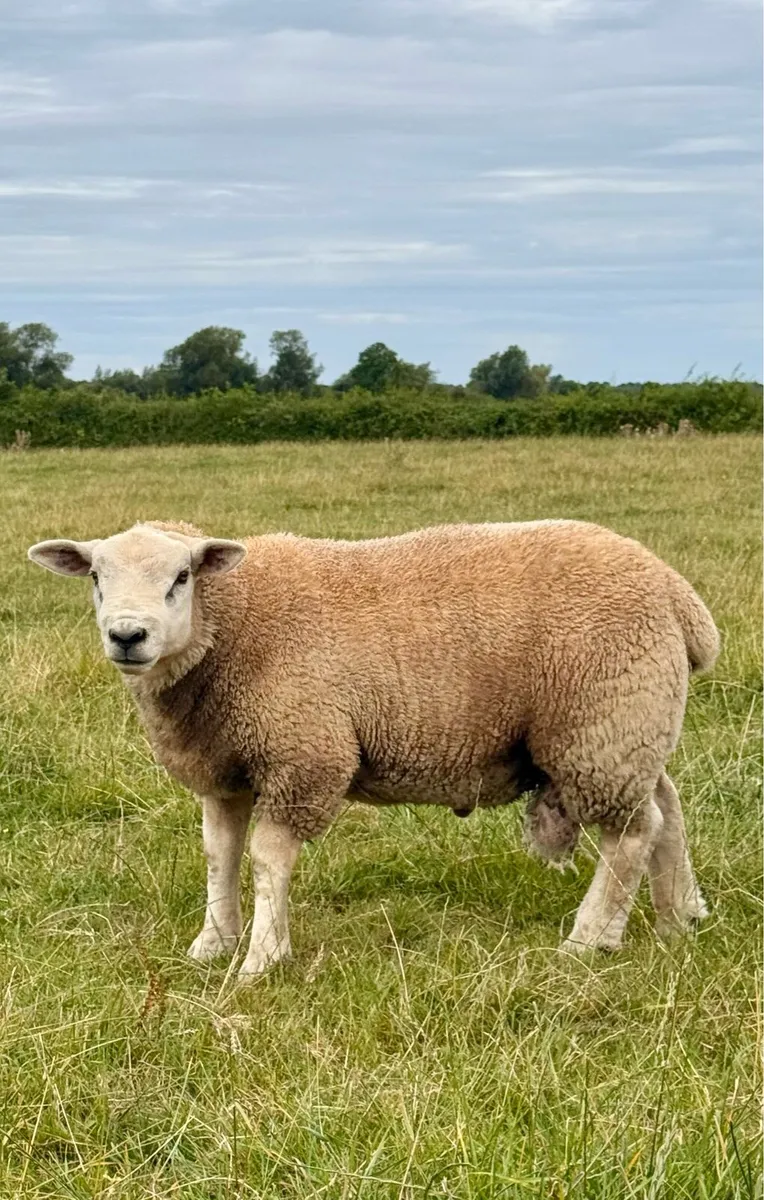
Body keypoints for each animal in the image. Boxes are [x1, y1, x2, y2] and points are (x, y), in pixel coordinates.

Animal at [28, 518, 719, 977]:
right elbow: (218, 854)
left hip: (602, 728)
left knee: (632, 834)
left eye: (181, 577)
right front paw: (213, 942)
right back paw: (679, 919)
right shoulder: (224, 765)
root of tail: (678, 595)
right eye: (96, 577)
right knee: (668, 809)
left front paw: (261, 959)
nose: (127, 635)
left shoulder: (304, 754)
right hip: (632, 725)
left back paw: (590, 940)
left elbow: (267, 859)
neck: (235, 624)